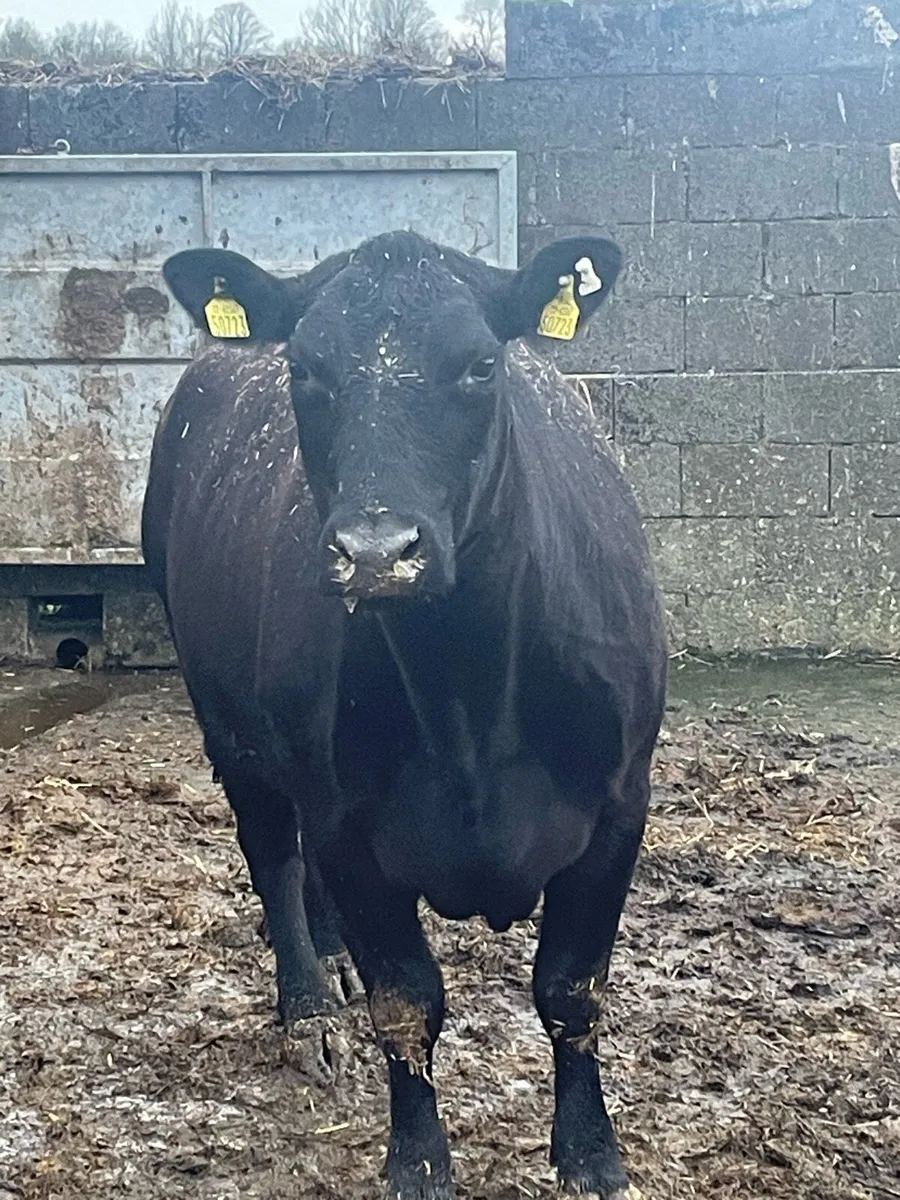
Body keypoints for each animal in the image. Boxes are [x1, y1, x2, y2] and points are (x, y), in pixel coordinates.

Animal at [142, 229, 667, 1200]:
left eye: (480, 364)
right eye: (307, 368)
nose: (378, 552)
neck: (468, 710)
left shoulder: (621, 805)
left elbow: (572, 990)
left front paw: (591, 1155)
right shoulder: (349, 826)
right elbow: (406, 1004)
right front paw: (418, 1163)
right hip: (229, 726)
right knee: (274, 855)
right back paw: (310, 1005)